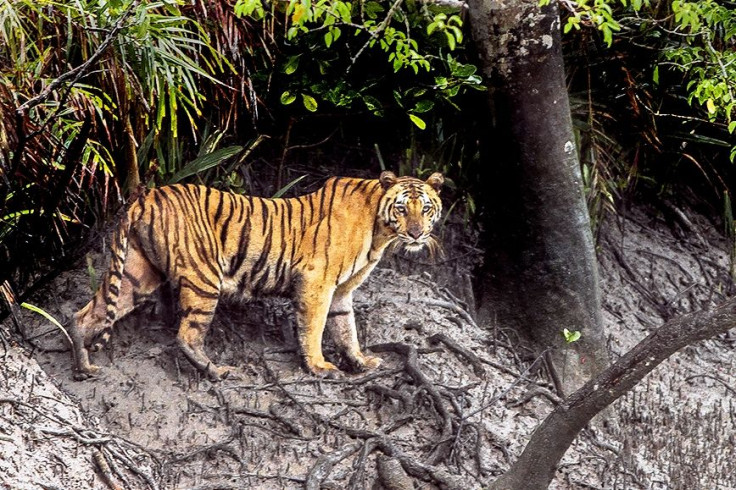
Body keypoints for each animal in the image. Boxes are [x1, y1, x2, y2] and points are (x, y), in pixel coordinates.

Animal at [70, 170, 442, 380]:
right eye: (401, 208)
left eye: (426, 208)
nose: (416, 234)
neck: (380, 232)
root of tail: (146, 196)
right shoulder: (317, 282)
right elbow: (315, 328)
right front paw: (319, 367)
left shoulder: (341, 292)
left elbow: (345, 329)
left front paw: (361, 362)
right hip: (204, 278)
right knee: (187, 335)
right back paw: (217, 371)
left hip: (137, 274)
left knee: (85, 314)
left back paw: (83, 367)